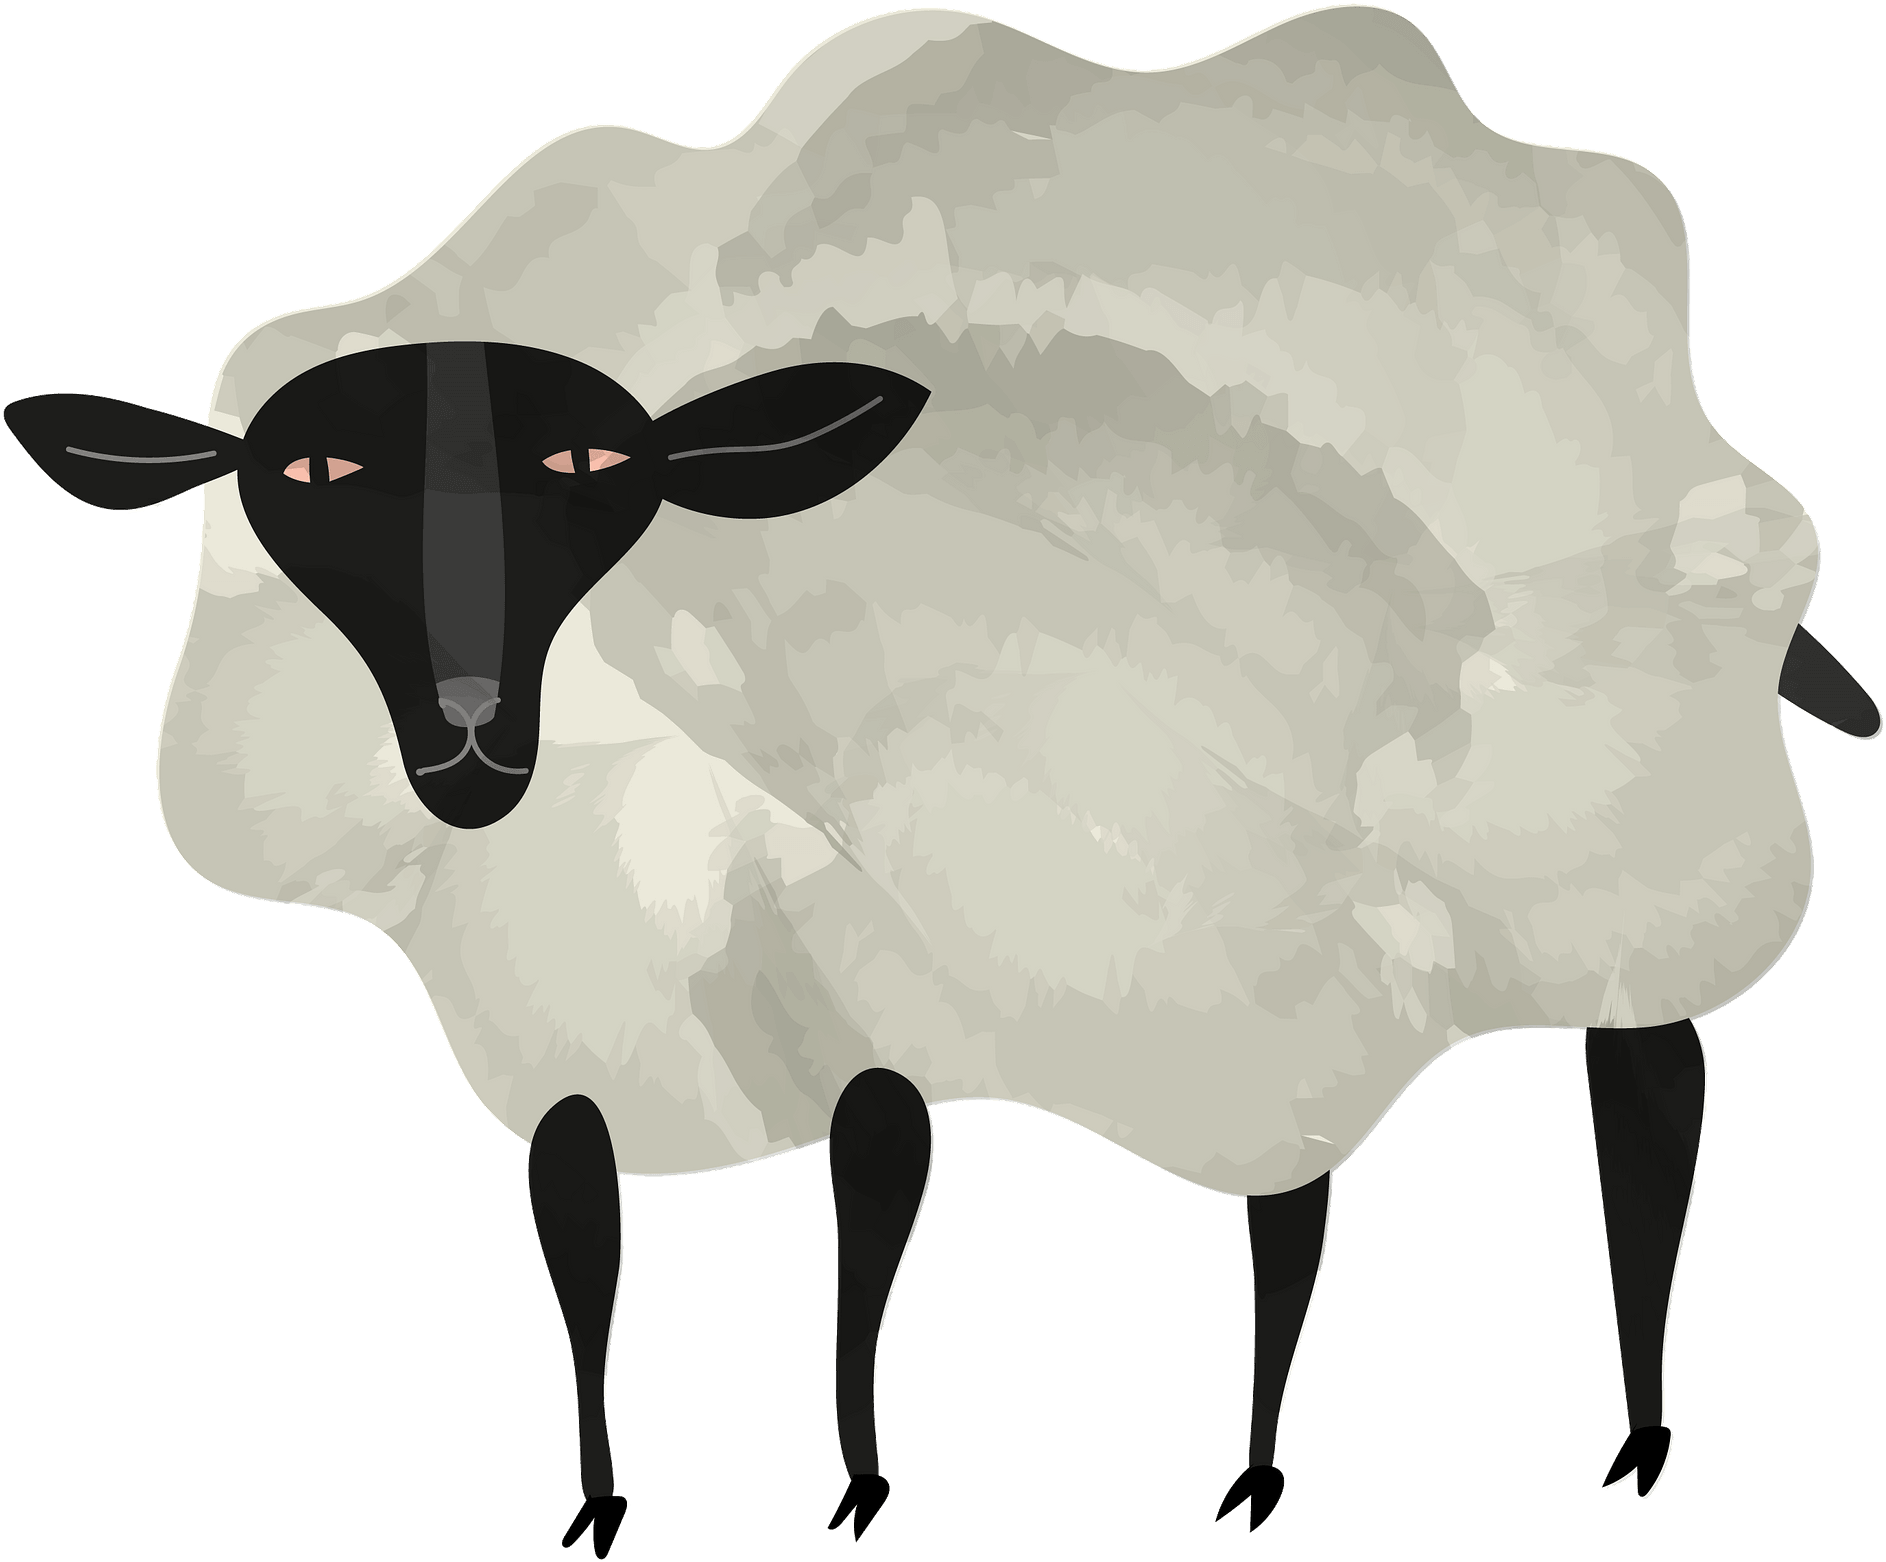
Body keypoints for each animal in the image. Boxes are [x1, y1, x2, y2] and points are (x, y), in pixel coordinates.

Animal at [9, 6, 1876, 1552]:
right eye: (306, 479)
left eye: (595, 465)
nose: (468, 729)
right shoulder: (573, 1060)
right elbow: (582, 1259)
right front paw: (601, 1495)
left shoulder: (877, 1027)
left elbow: (860, 1253)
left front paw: (851, 1484)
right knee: (1300, 1178)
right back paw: (1266, 1454)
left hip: (1618, 895)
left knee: (1645, 1108)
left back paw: (1623, 1437)